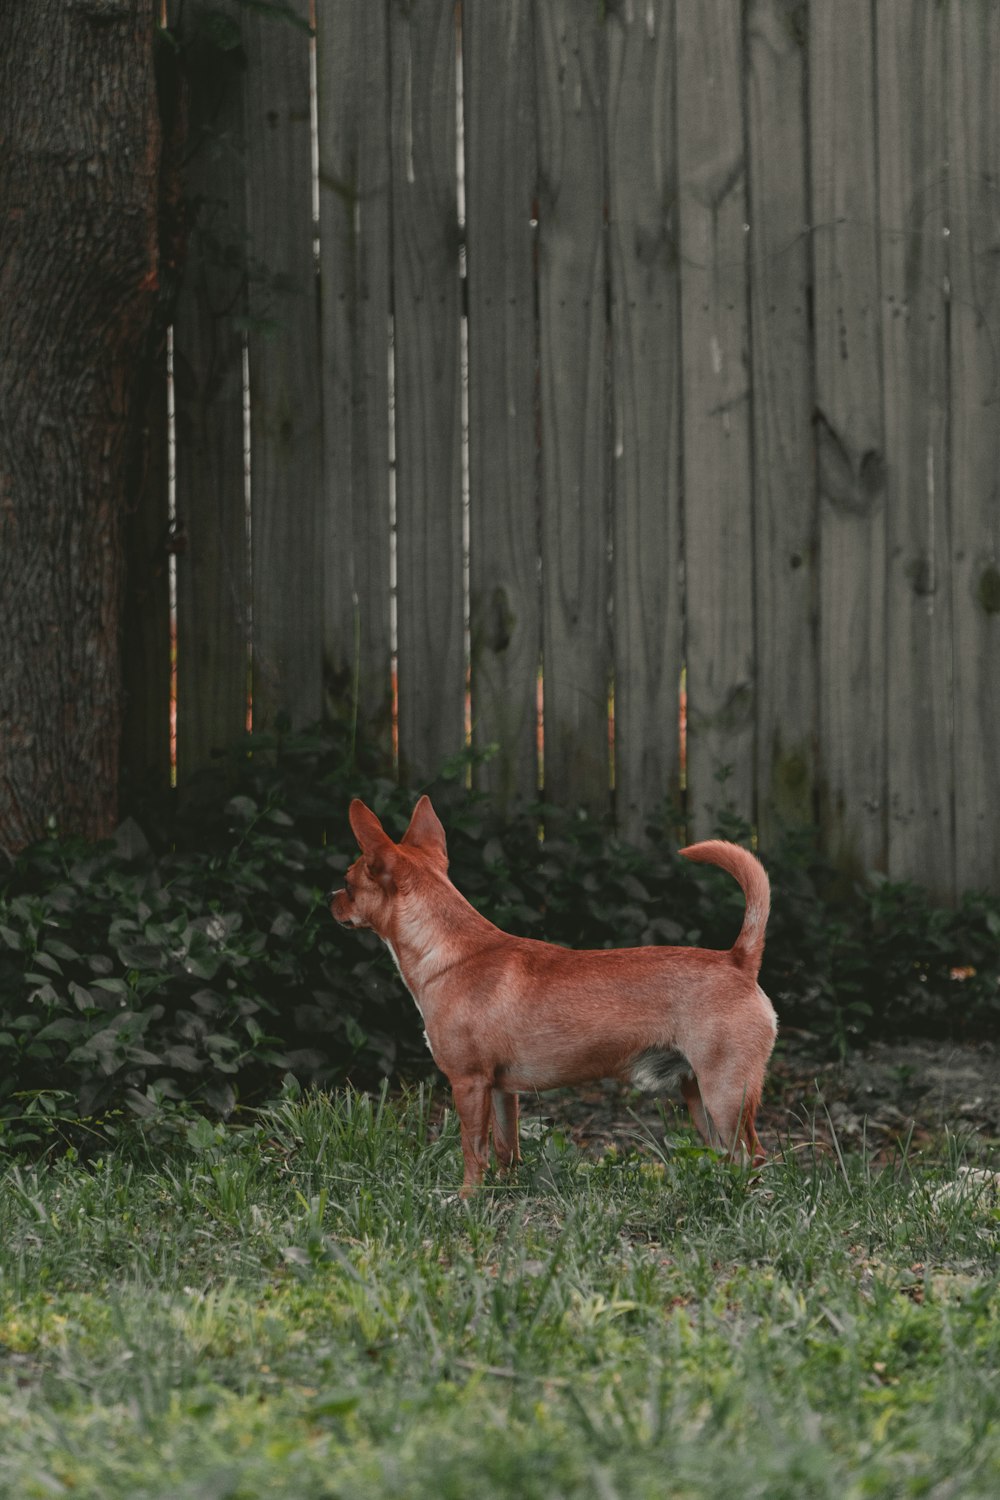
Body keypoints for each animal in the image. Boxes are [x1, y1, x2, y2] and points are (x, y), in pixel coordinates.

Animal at [332, 798, 779, 1194]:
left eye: (348, 884)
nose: (332, 900)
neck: (450, 951)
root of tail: (738, 959)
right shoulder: (501, 1091)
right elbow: (505, 1148)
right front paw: (503, 1192)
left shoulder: (469, 1084)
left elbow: (473, 1150)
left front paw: (466, 1199)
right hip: (698, 1095)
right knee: (728, 1155)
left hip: (725, 1094)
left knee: (753, 1154)